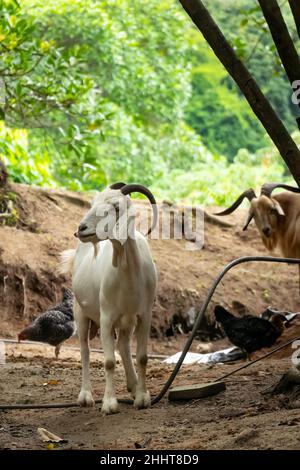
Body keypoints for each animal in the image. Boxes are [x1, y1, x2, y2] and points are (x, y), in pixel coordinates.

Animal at [60, 182, 157, 414]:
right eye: (93, 203)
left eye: (116, 207)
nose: (81, 229)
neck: (129, 274)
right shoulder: (106, 318)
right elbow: (109, 361)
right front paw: (110, 403)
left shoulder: (144, 315)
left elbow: (142, 357)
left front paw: (143, 397)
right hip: (81, 312)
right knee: (85, 350)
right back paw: (86, 396)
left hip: (127, 321)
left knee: (123, 345)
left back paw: (133, 386)